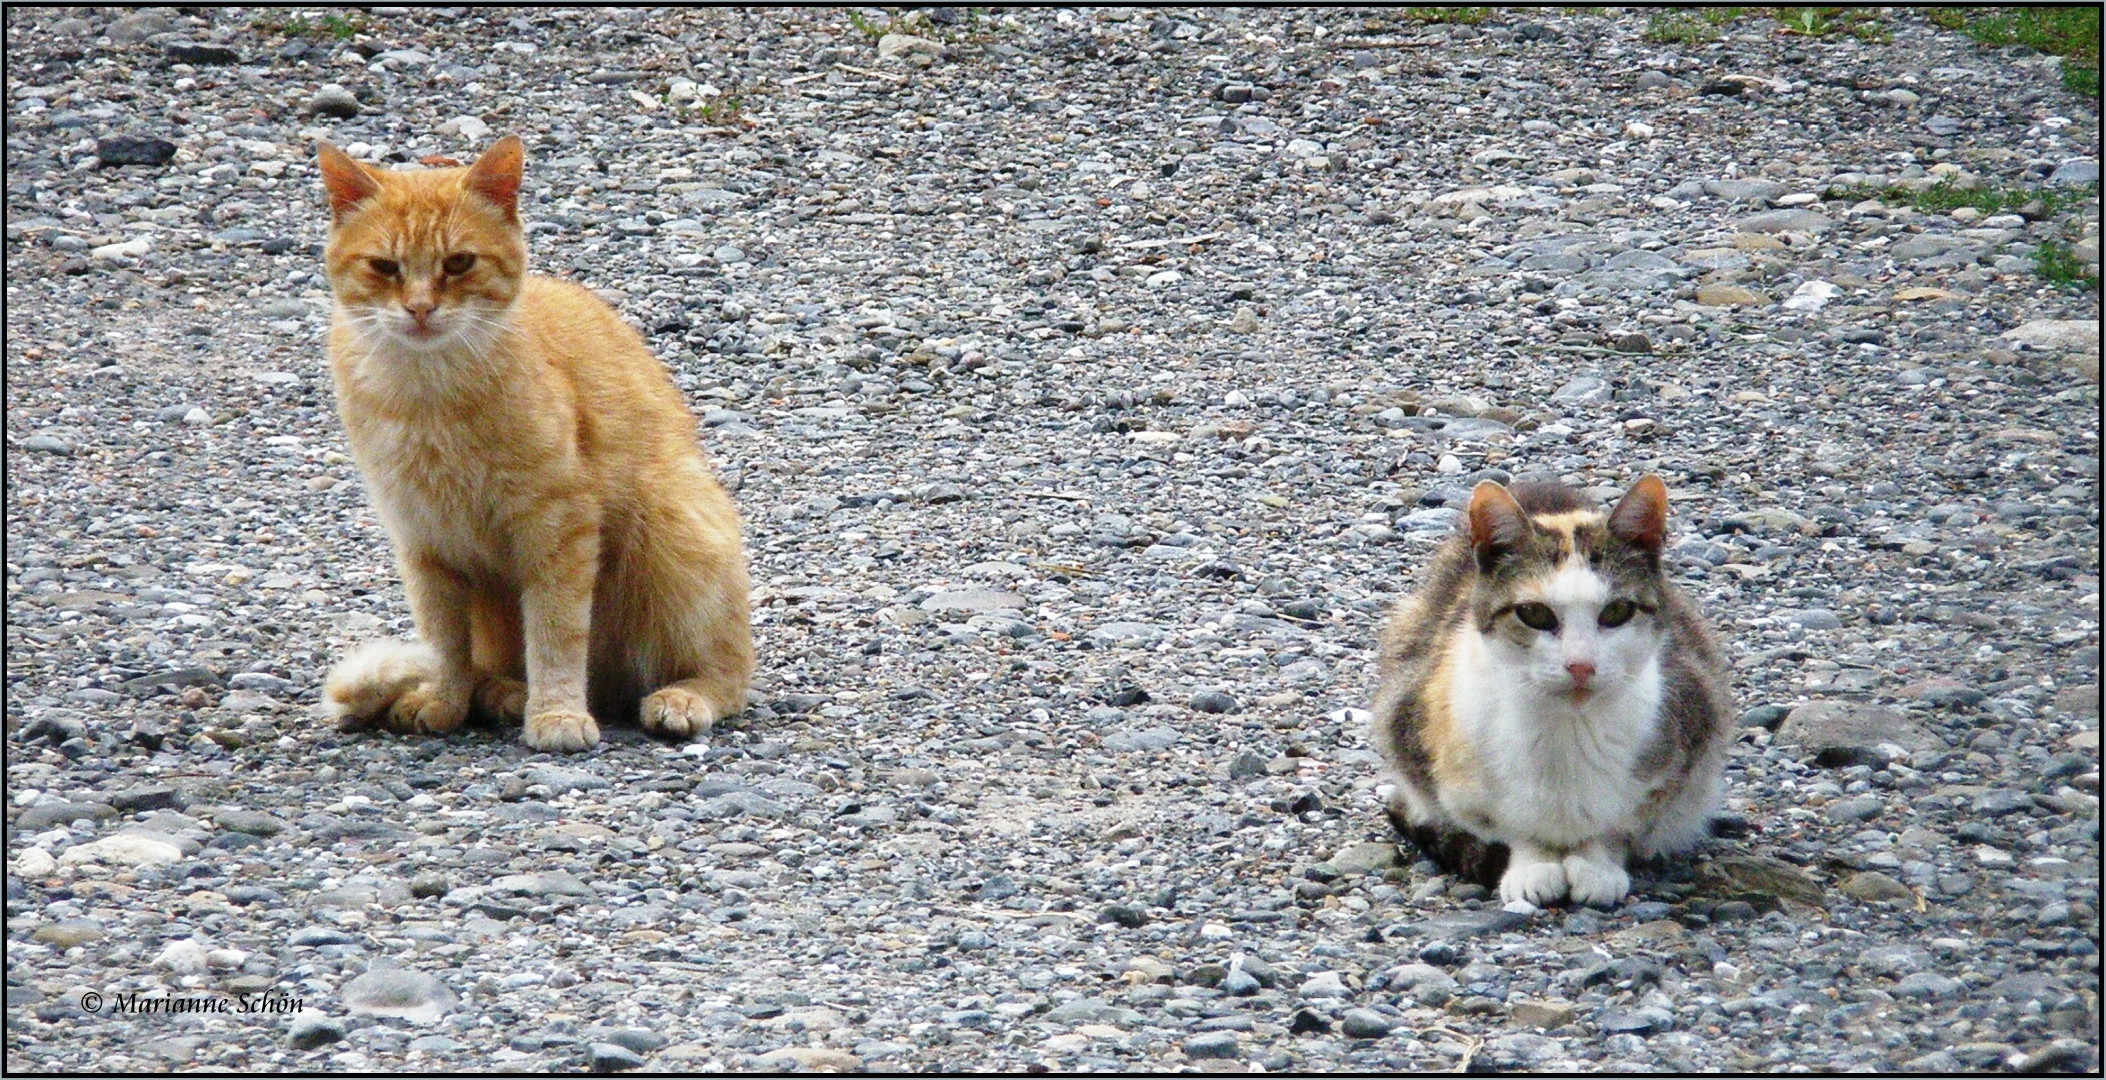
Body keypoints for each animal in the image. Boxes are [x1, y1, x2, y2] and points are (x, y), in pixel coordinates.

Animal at [307, 134, 745, 749]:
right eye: (384, 267)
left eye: (458, 263)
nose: (419, 309)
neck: (429, 398)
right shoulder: (422, 540)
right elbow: (444, 643)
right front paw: (443, 701)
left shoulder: (559, 527)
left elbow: (556, 633)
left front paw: (557, 714)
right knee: (488, 666)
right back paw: (501, 695)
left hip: (674, 528)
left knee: (730, 671)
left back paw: (680, 697)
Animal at [1373, 475, 1735, 905]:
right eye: (1534, 614)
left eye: (1617, 611)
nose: (1580, 665)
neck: (1567, 733)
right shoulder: (1429, 752)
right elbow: (1510, 826)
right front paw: (1533, 865)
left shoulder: (1686, 741)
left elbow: (1617, 827)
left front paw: (1596, 866)